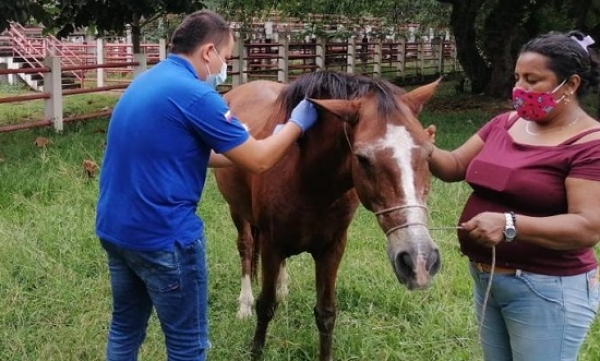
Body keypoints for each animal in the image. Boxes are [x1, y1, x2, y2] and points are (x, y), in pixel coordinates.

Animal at [216, 71, 440, 360]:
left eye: (429, 152)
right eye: (363, 158)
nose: (419, 260)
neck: (307, 176)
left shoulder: (333, 247)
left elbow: (325, 314)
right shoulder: (271, 243)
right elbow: (265, 307)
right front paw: (256, 348)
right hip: (239, 214)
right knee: (245, 249)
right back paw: (244, 305)